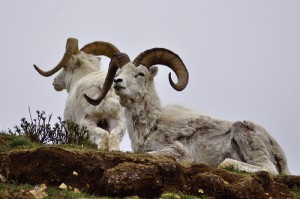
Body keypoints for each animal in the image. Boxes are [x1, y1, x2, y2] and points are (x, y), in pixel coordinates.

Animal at [83, 48, 290, 174]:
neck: (152, 126)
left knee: (267, 169)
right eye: (118, 73)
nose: (117, 82)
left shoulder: (178, 152)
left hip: (245, 134)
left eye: (140, 74)